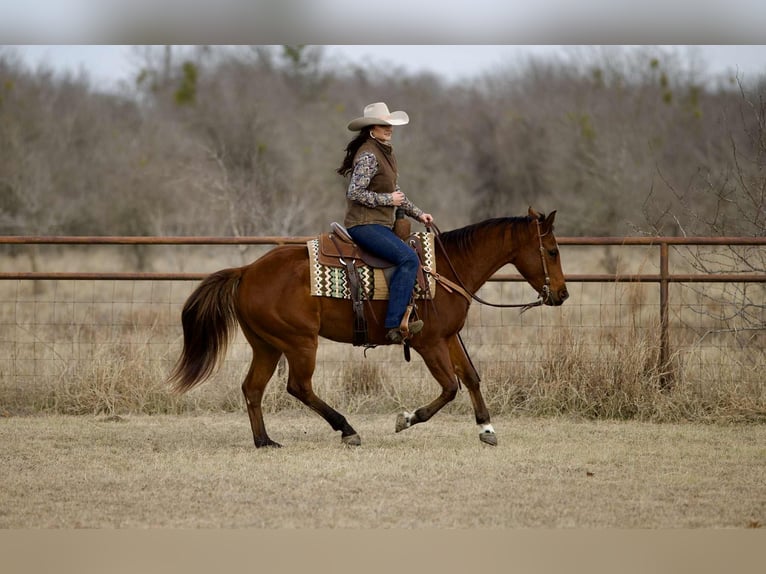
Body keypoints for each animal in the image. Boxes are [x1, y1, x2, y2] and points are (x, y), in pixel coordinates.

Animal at [168, 207, 568, 448]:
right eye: (552, 251)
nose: (562, 294)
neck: (446, 268)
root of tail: (247, 270)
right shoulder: (428, 343)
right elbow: (450, 387)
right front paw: (407, 418)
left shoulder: (449, 337)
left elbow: (470, 378)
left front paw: (486, 428)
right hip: (299, 342)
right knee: (299, 386)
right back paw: (347, 430)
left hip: (267, 345)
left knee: (253, 388)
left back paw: (265, 441)